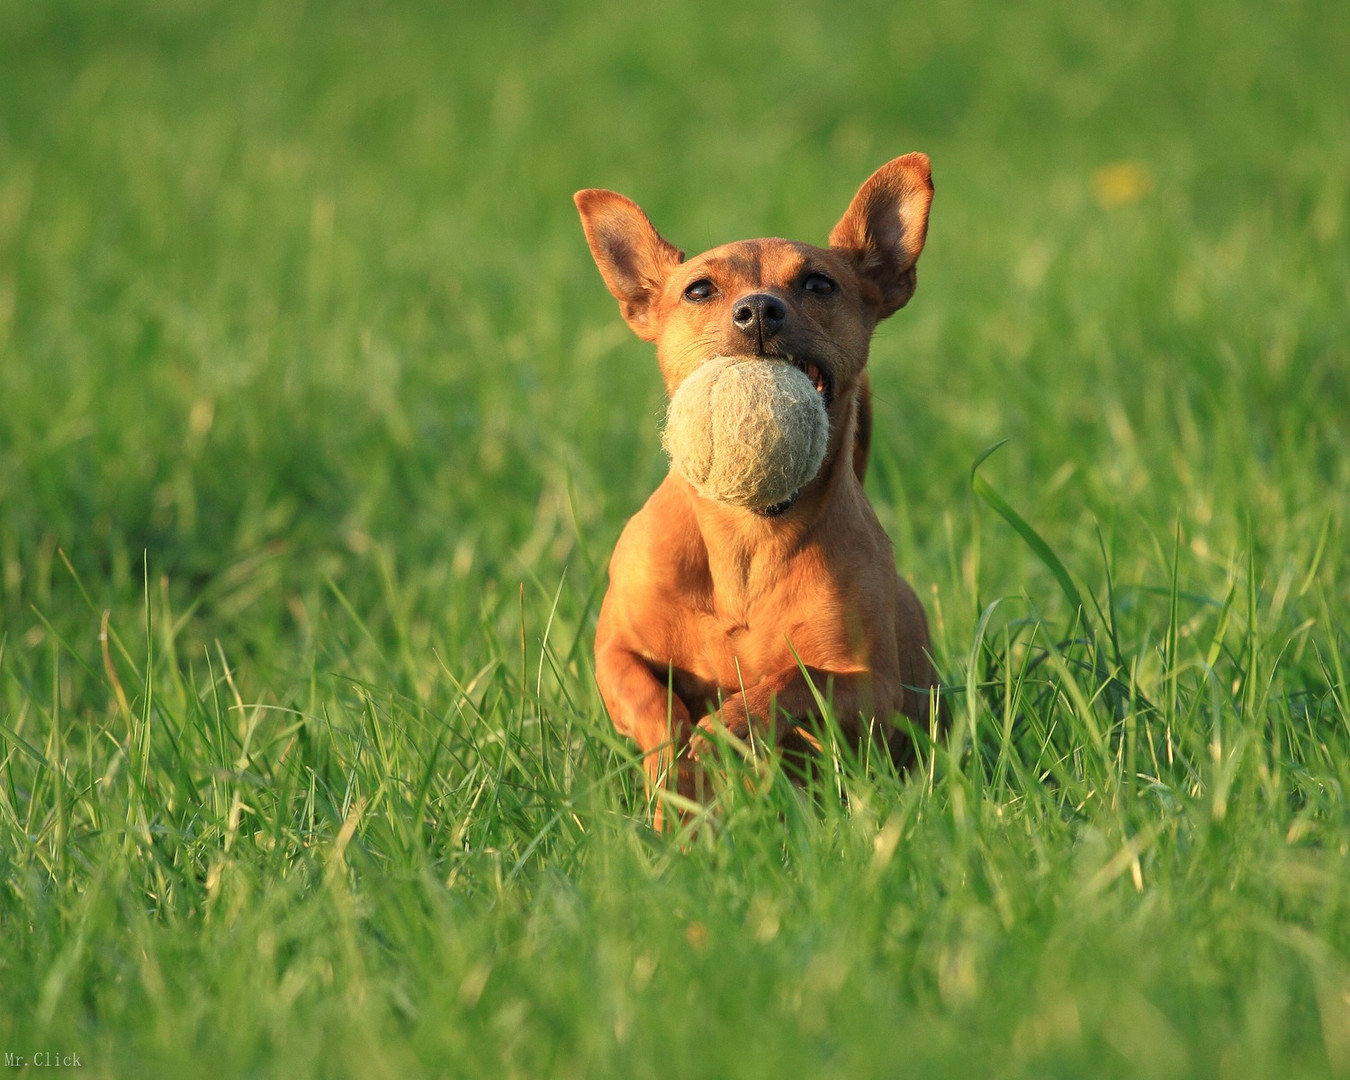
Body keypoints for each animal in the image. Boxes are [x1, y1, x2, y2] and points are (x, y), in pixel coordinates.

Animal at [577, 153, 939, 826]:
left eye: (819, 284)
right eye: (699, 290)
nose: (759, 310)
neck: (746, 532)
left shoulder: (866, 686)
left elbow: (781, 690)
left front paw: (721, 735)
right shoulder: (615, 653)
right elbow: (656, 708)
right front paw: (675, 773)